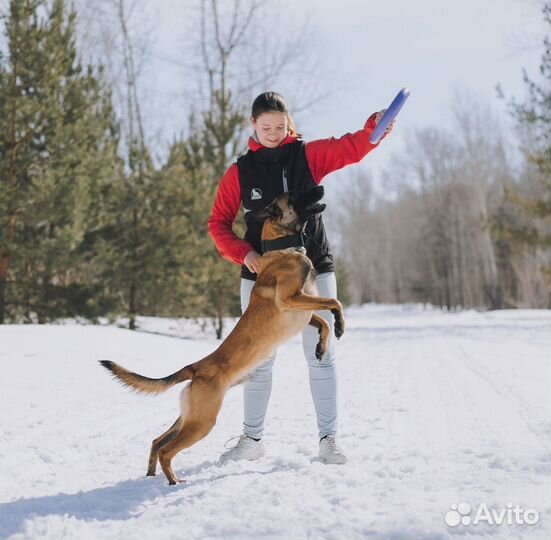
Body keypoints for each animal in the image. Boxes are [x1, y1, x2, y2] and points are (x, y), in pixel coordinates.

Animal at [100, 187, 344, 486]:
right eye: (295, 194)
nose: (320, 188)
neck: (283, 248)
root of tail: (196, 367)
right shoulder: (291, 300)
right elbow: (333, 302)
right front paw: (340, 324)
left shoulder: (303, 310)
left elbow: (323, 321)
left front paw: (322, 345)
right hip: (202, 422)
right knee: (167, 449)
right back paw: (173, 481)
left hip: (189, 416)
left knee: (157, 441)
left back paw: (151, 474)